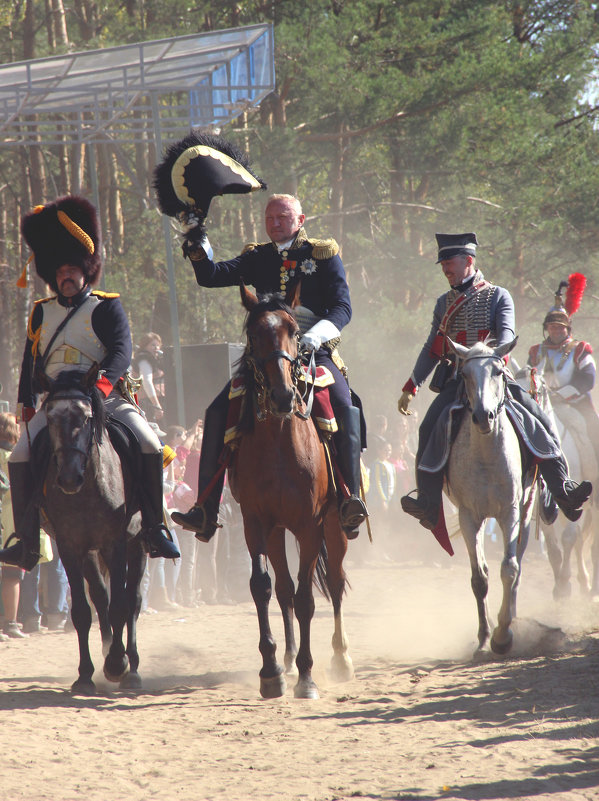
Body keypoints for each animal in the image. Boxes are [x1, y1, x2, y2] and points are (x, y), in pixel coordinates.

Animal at [37, 362, 146, 692]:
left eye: (85, 417)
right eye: (50, 417)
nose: (69, 478)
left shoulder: (116, 543)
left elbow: (121, 605)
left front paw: (118, 664)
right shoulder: (70, 547)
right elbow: (83, 611)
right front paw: (85, 674)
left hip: (139, 544)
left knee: (132, 599)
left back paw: (131, 667)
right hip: (89, 553)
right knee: (100, 596)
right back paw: (108, 649)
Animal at [227, 284, 354, 696]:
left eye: (295, 331)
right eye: (254, 335)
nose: (283, 396)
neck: (281, 443)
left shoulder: (310, 525)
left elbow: (306, 598)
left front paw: (307, 675)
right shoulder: (255, 523)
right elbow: (263, 587)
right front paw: (271, 670)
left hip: (336, 525)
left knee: (334, 583)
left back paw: (340, 658)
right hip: (276, 531)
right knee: (282, 589)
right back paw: (286, 659)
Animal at [446, 338, 536, 656]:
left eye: (498, 371)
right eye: (464, 375)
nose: (483, 416)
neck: (486, 457)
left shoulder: (510, 512)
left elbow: (509, 569)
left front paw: (502, 636)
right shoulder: (469, 516)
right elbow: (479, 578)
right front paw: (485, 637)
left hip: (526, 513)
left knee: (517, 566)